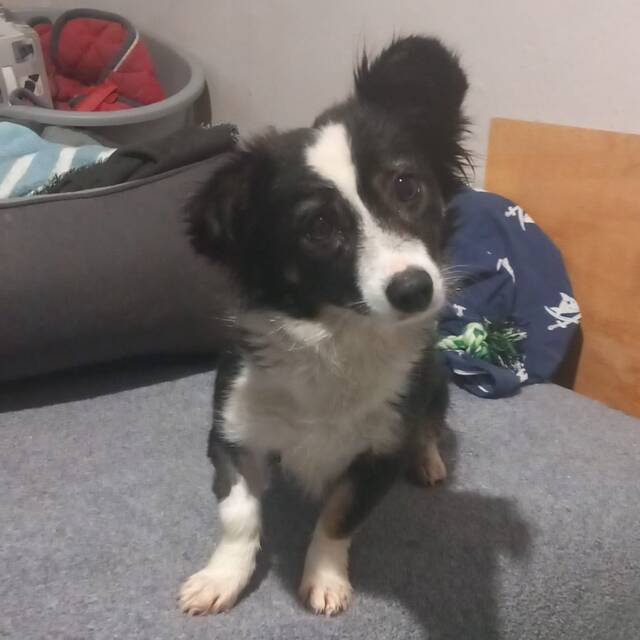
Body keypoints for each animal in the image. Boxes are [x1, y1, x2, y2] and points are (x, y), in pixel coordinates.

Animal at [179, 35, 469, 617]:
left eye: (407, 187)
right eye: (317, 227)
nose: (415, 289)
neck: (339, 336)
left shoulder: (381, 452)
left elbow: (338, 517)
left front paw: (325, 578)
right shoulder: (231, 432)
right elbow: (239, 515)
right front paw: (223, 577)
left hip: (436, 383)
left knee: (431, 425)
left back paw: (428, 460)